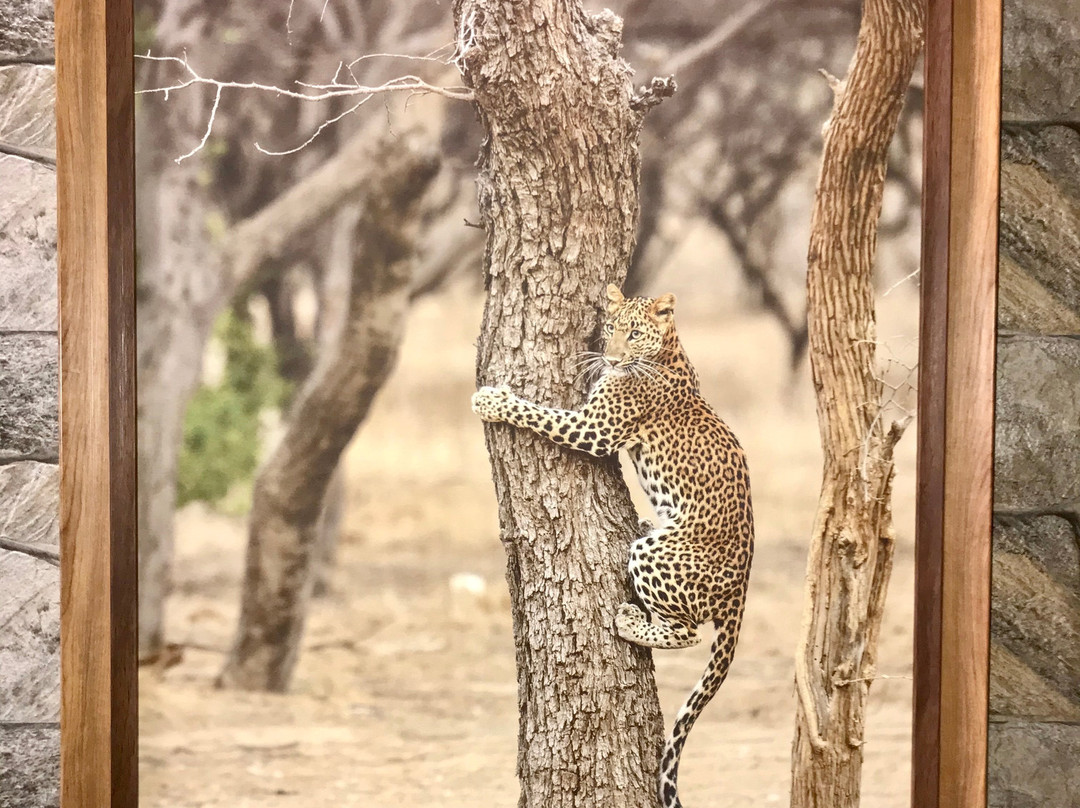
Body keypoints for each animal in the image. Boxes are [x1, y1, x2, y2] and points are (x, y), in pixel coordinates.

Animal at [471, 283, 754, 808]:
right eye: (611, 326)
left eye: (635, 333)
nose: (611, 356)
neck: (668, 348)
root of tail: (741, 590)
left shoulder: (594, 429)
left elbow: (537, 413)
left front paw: (492, 400)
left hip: (658, 556)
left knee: (687, 631)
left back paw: (629, 620)